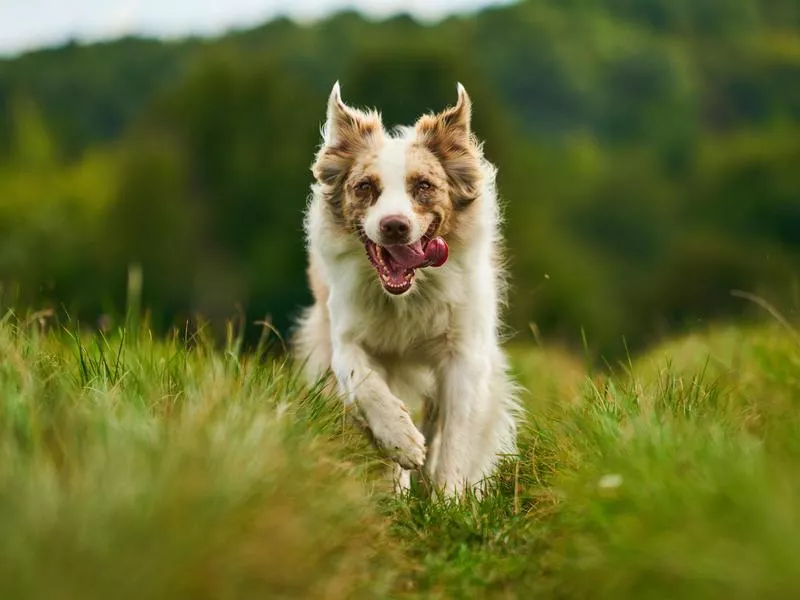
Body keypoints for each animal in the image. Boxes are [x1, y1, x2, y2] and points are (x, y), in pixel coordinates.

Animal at [290, 82, 520, 494]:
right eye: (365, 187)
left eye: (423, 186)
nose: (394, 226)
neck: (409, 296)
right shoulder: (346, 337)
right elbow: (363, 381)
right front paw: (402, 440)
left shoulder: (464, 354)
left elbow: (456, 439)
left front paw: (450, 501)